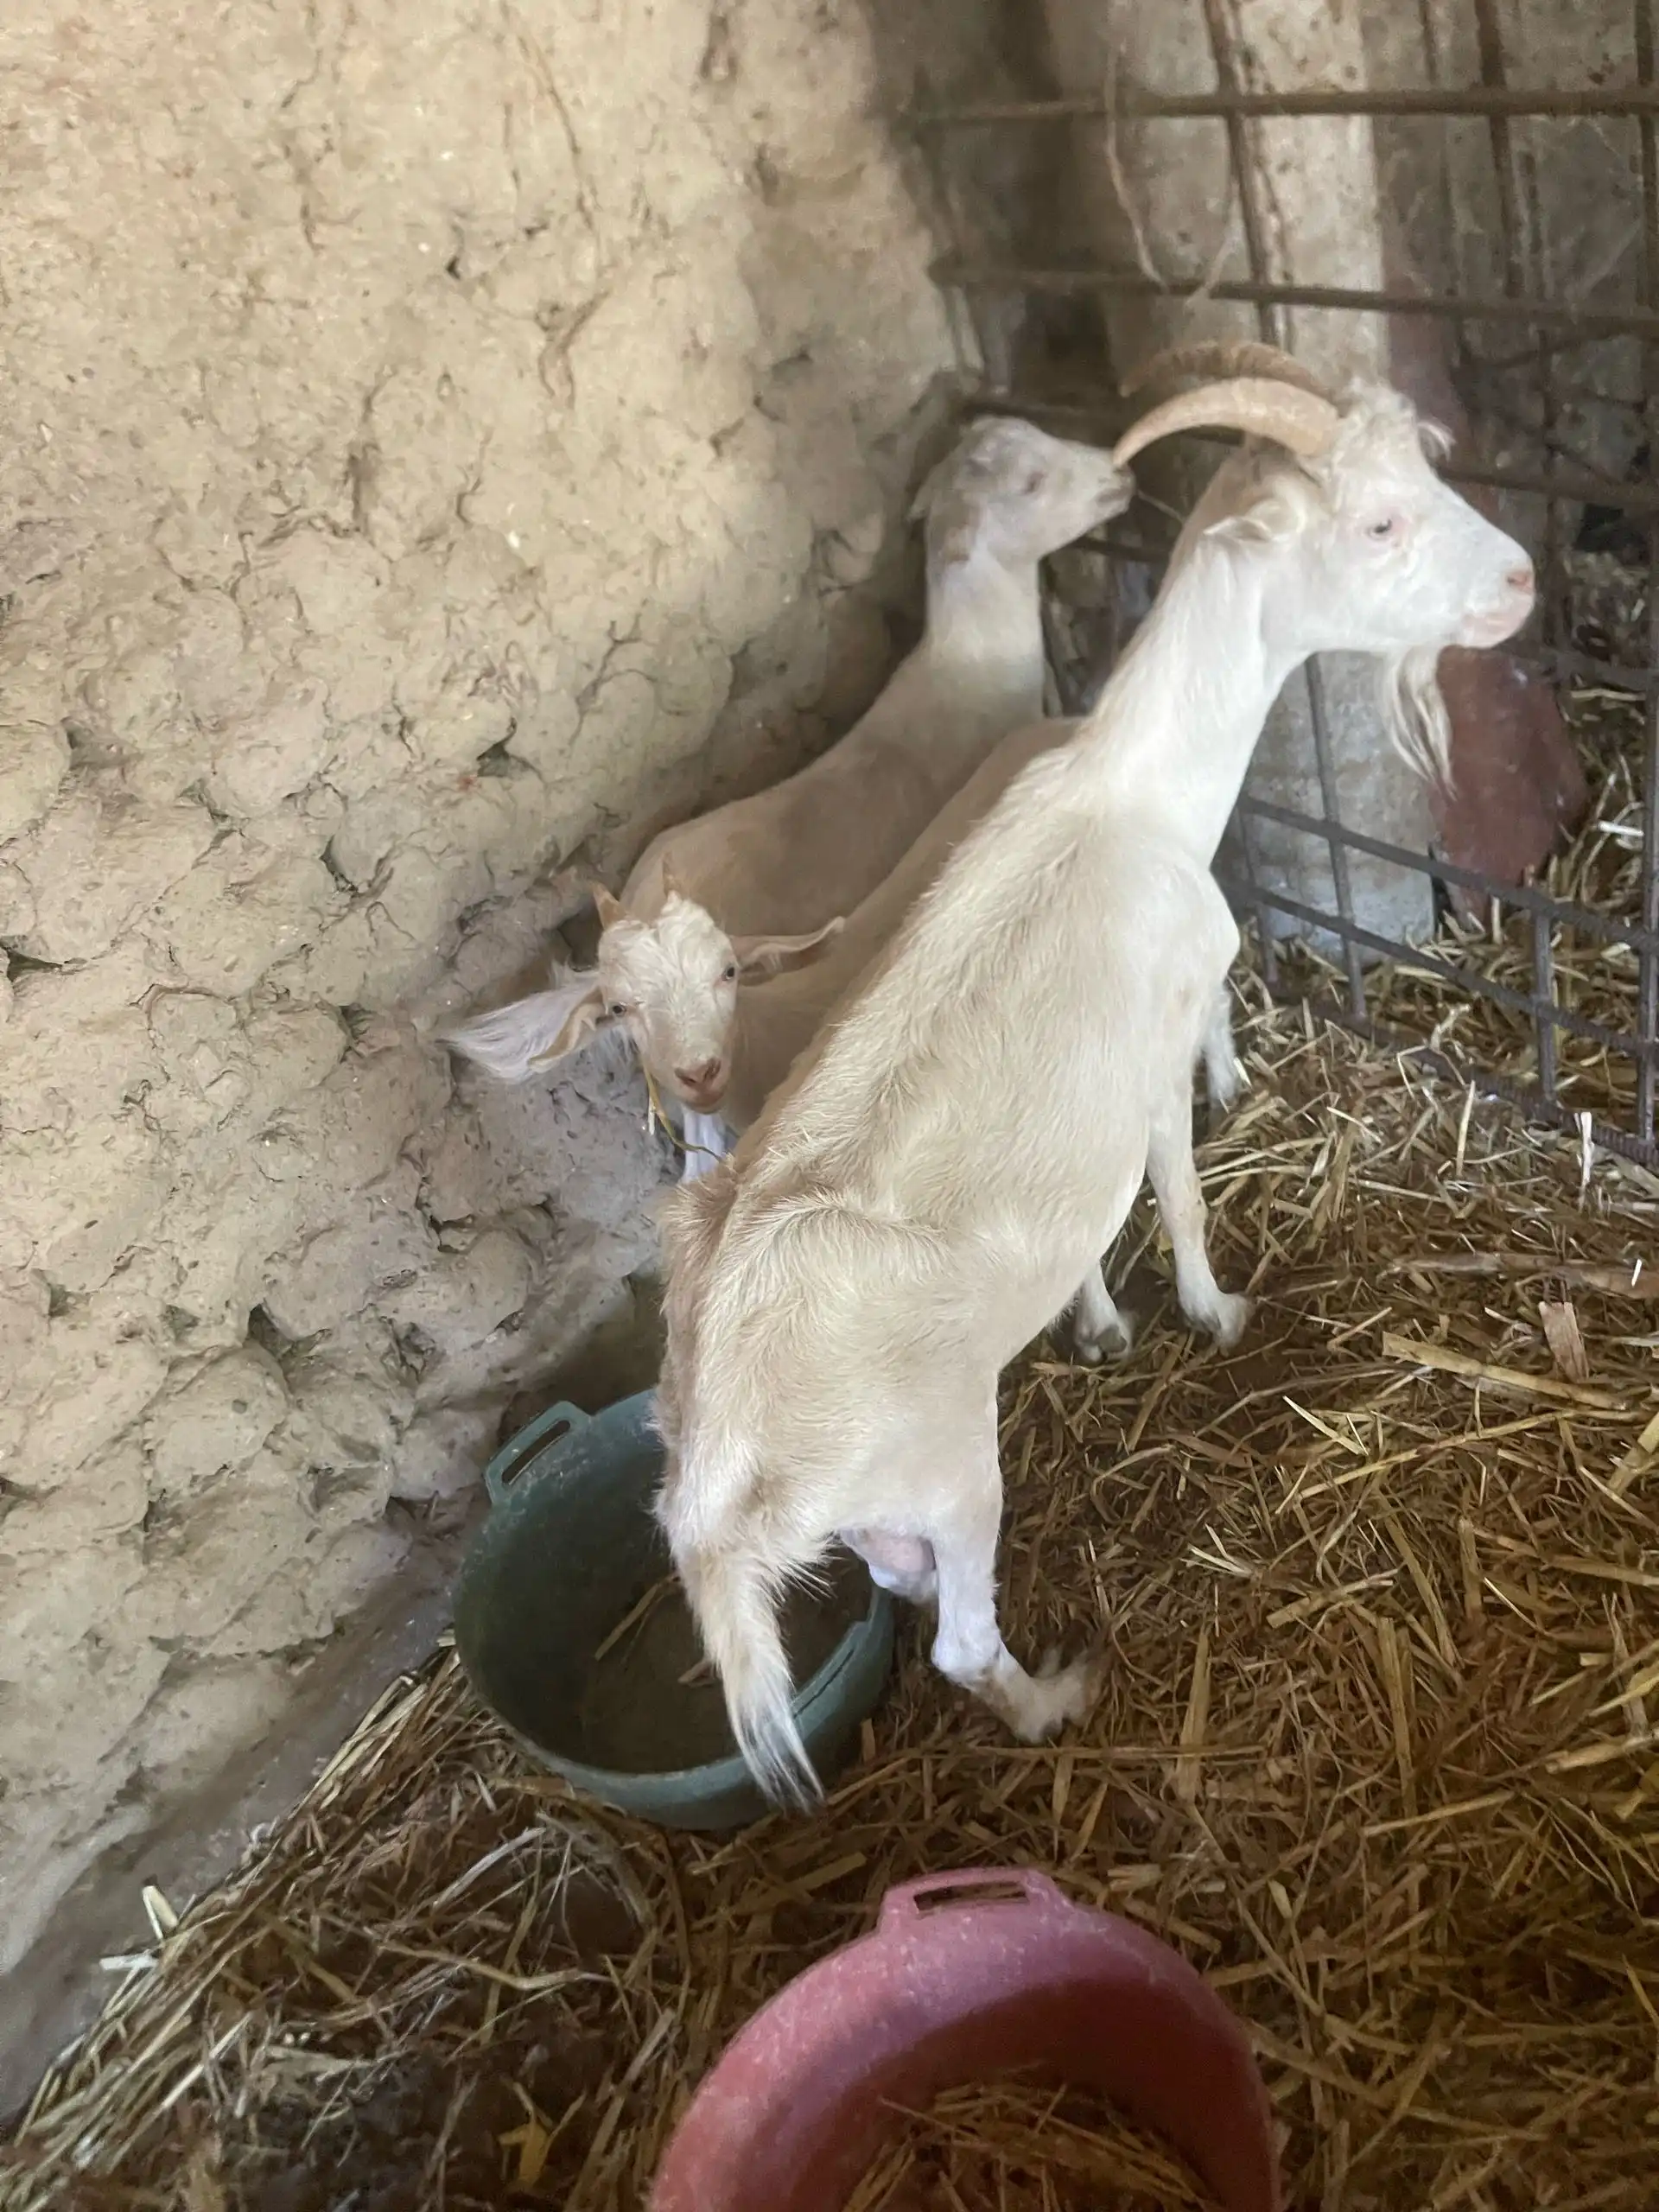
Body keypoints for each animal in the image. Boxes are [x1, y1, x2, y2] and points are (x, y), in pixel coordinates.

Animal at [653, 355, 1537, 1803]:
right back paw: (1053, 1698)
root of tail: (718, 1491)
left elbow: (1092, 1227)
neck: (1132, 786)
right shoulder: (1158, 1042)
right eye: (1379, 523)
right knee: (959, 1637)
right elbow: (1177, 1189)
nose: (1519, 582)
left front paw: (1103, 1323)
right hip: (946, 1468)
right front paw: (1215, 1312)